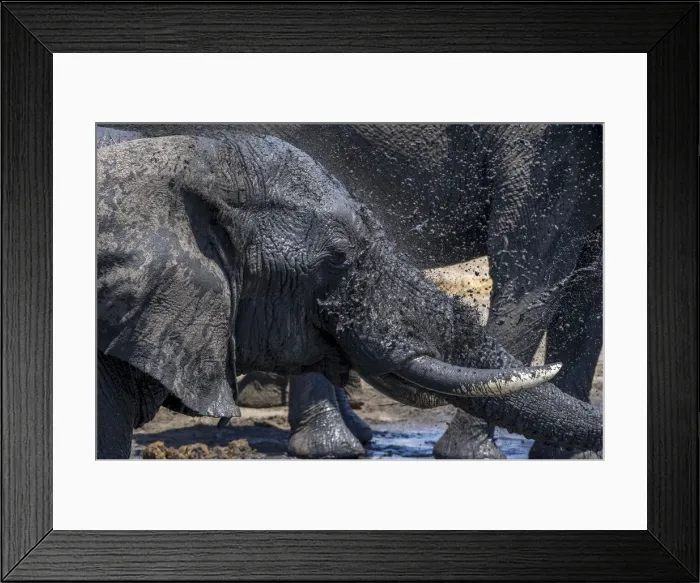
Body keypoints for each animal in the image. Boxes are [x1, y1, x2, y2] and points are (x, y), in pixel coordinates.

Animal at [100, 124, 602, 459]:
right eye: (337, 259)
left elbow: (588, 296)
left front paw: (569, 459)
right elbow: (534, 277)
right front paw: (470, 456)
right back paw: (334, 448)